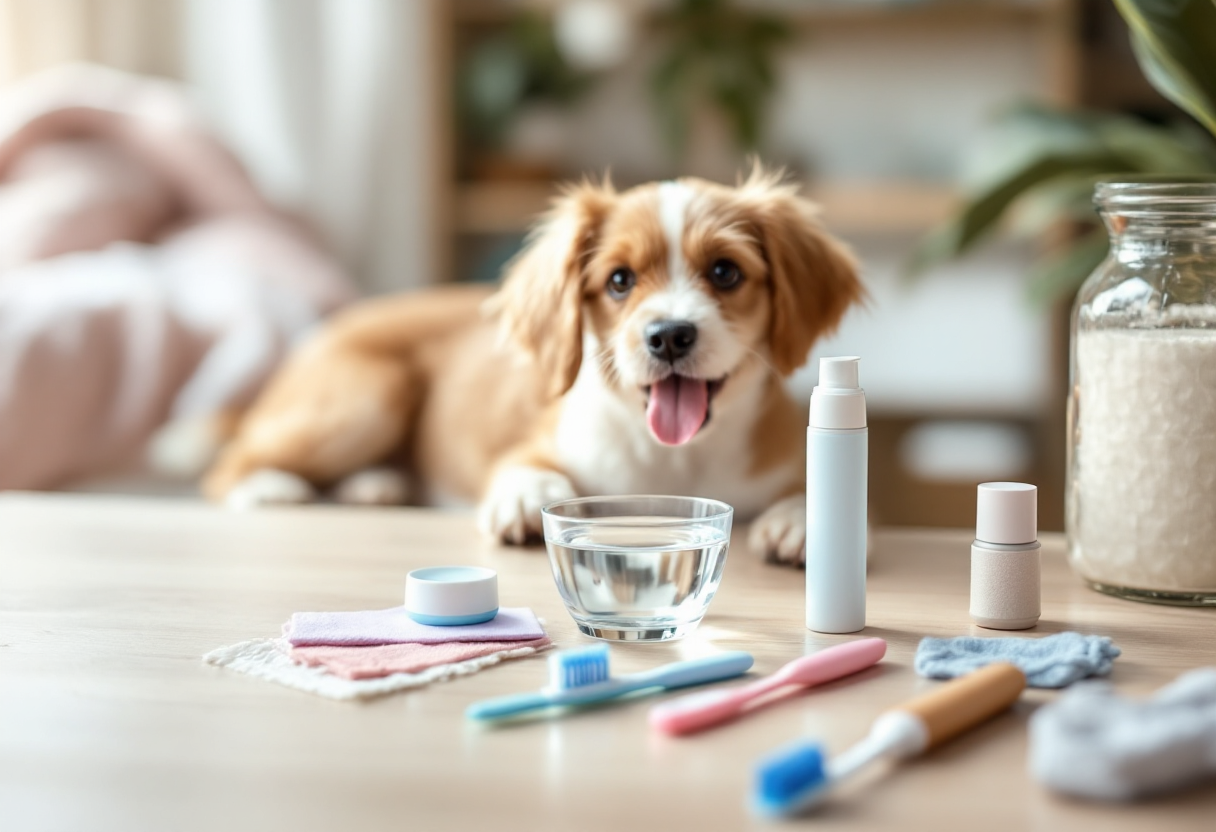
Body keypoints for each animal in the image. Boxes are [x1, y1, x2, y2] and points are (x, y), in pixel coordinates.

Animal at [201, 164, 865, 564]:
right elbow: (525, 466)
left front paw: (807, 519)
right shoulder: (536, 440)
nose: (669, 336)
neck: (677, 461)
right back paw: (271, 489)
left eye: (725, 272)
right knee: (232, 462)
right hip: (369, 394)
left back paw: (375, 484)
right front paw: (529, 496)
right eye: (619, 280)